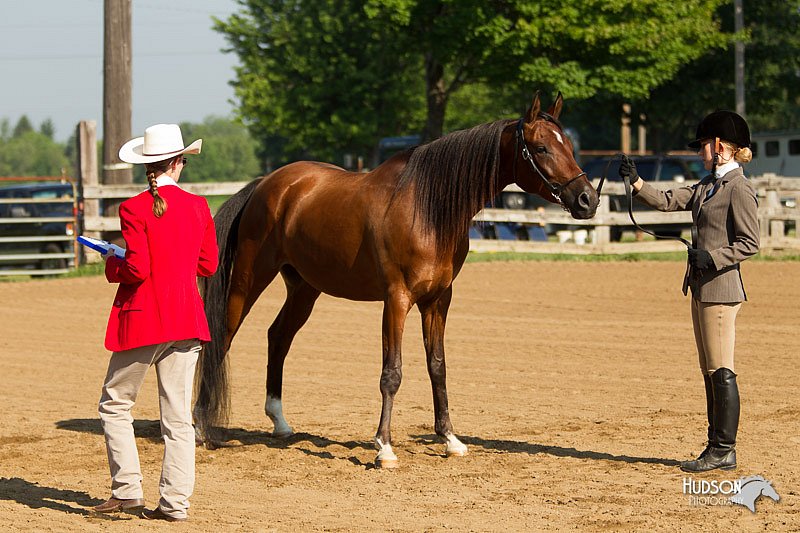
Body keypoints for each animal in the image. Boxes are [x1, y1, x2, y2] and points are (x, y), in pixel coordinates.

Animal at [192, 91, 592, 466]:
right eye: (541, 148)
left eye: (570, 146)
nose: (587, 199)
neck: (426, 209)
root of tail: (265, 185)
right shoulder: (397, 299)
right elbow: (392, 372)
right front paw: (384, 447)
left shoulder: (438, 300)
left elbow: (437, 367)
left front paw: (450, 439)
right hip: (249, 278)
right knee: (222, 337)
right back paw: (198, 426)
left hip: (305, 288)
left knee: (278, 336)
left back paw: (279, 422)